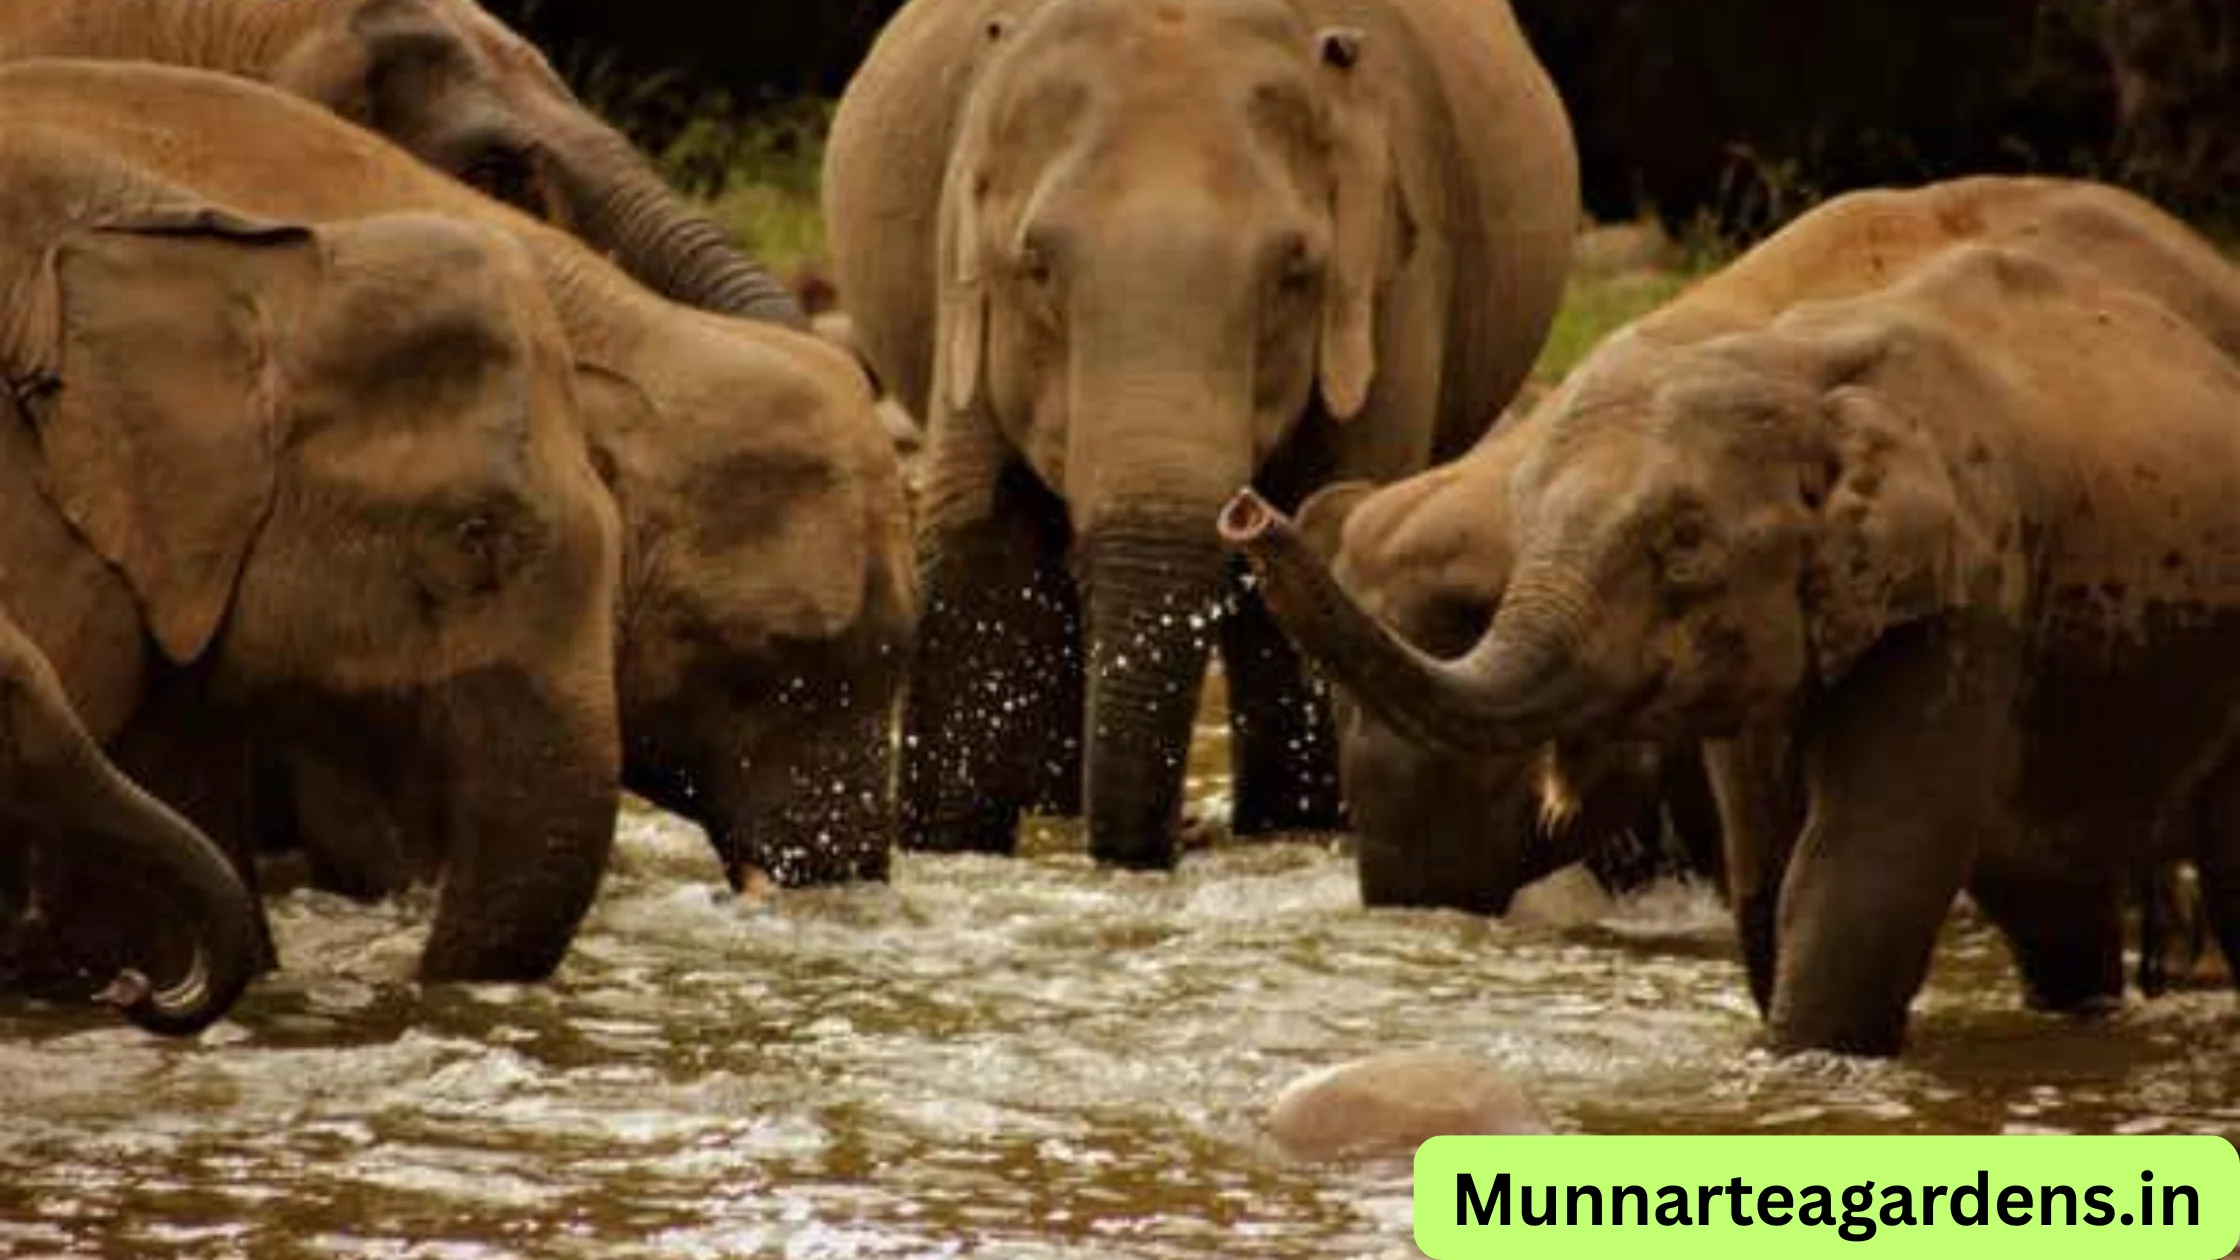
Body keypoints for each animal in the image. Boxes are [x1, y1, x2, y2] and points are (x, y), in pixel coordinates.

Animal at [823, 0, 1579, 870]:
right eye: (1037, 267)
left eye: (1293, 272)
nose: (1172, 839)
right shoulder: (963, 280)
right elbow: (987, 549)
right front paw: (953, 848)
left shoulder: (1401, 281)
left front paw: (1297, 826)